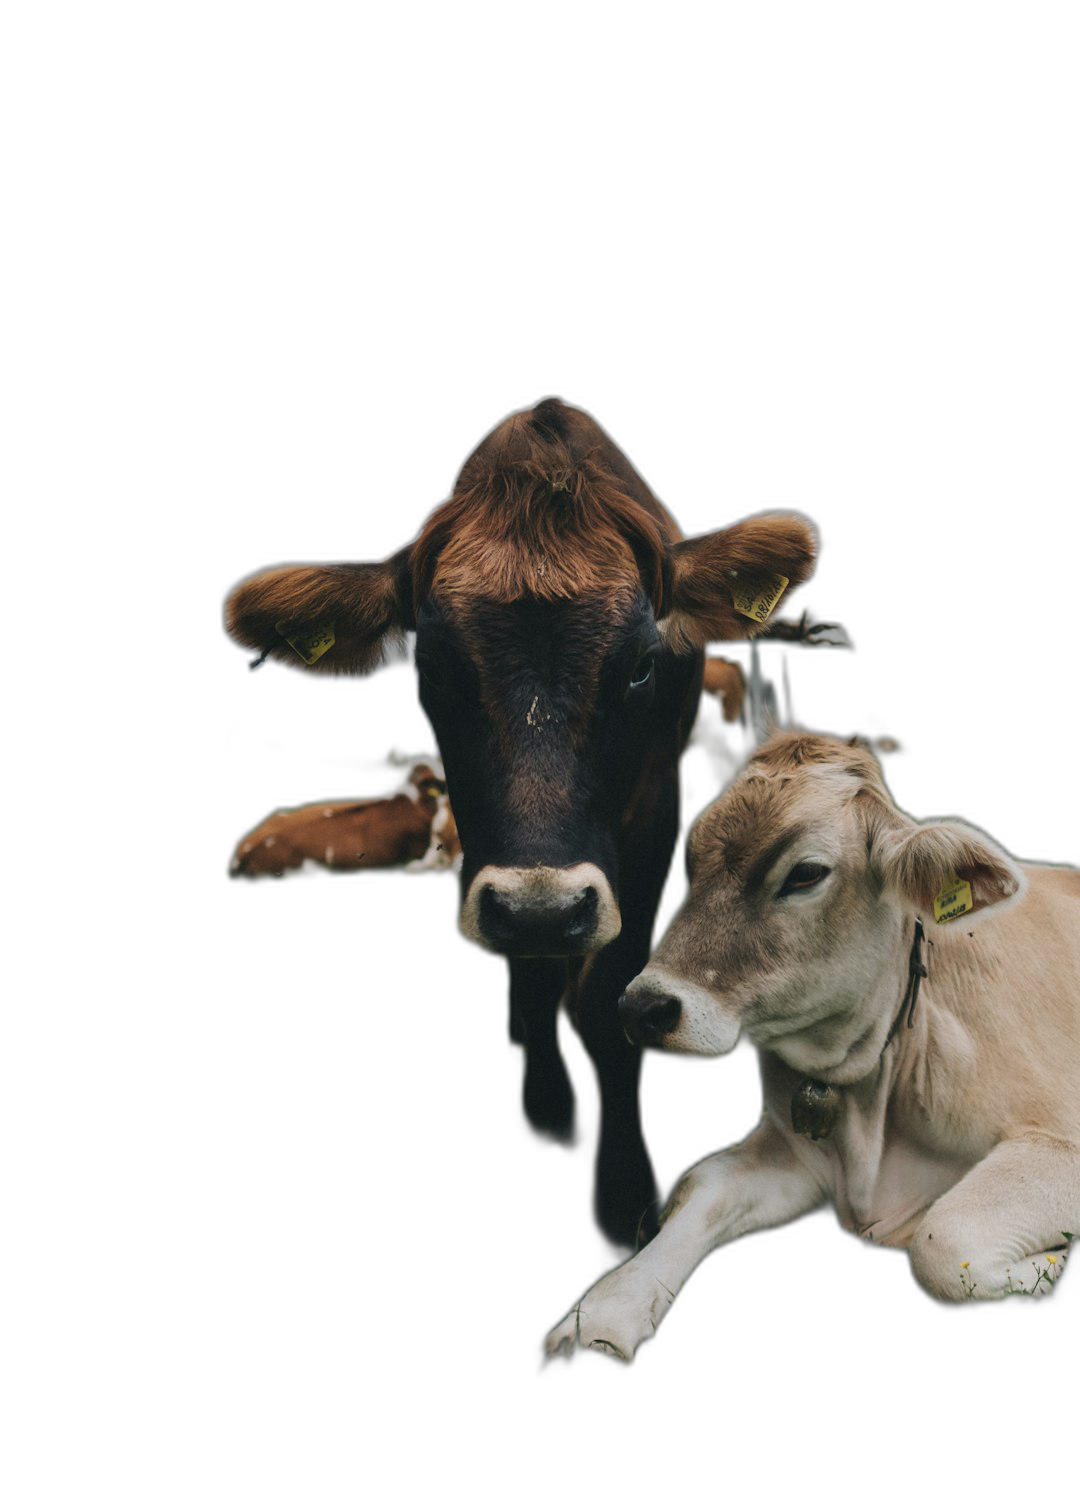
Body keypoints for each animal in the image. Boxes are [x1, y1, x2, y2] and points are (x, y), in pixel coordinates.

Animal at [225, 396, 834, 1245]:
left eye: (642, 665)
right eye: (432, 666)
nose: (542, 909)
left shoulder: (657, 805)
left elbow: (608, 996)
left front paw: (624, 1191)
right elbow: (538, 972)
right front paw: (547, 1103)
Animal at [547, 731, 1076, 1360]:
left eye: (805, 874)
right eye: (692, 863)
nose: (642, 1008)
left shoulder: (1058, 1137)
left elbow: (943, 1239)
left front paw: (1053, 1262)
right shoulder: (791, 1153)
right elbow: (701, 1187)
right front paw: (602, 1314)